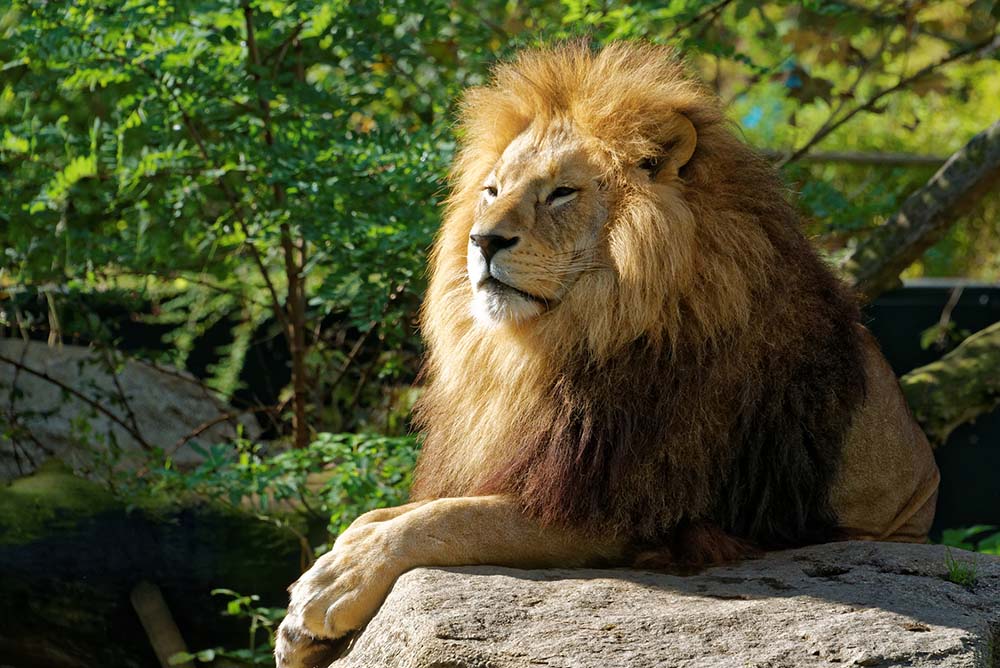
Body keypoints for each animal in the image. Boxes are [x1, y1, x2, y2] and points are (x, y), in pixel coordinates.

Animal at [275, 42, 940, 667]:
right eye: (491, 191)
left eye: (561, 193)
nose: (482, 240)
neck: (558, 340)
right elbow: (382, 516)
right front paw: (308, 616)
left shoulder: (623, 511)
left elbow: (446, 520)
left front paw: (333, 587)